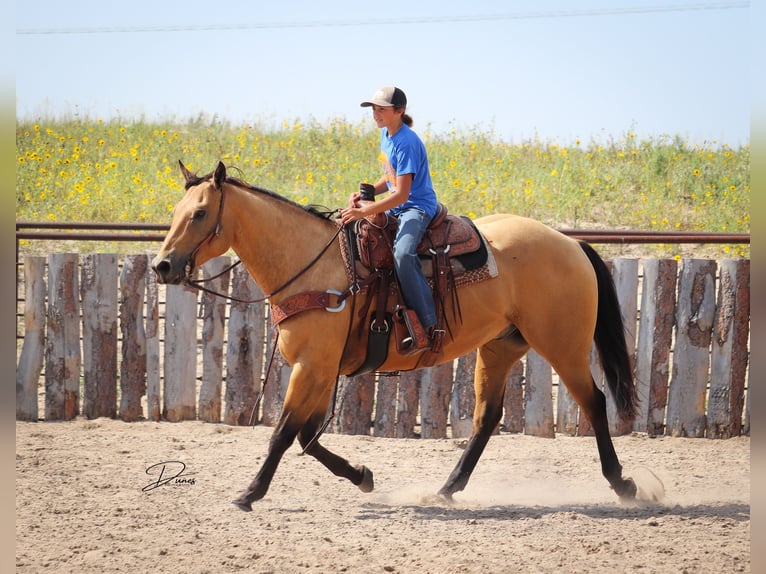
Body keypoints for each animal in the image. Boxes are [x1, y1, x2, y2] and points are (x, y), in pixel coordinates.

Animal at [152, 161, 640, 512]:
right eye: (174, 213)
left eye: (199, 214)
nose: (162, 266)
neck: (317, 266)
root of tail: (570, 243)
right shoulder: (320, 368)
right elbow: (307, 435)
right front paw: (362, 476)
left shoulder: (311, 366)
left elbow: (284, 433)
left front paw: (249, 493)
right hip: (500, 347)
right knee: (487, 418)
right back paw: (447, 489)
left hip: (564, 346)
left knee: (594, 402)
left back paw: (623, 483)